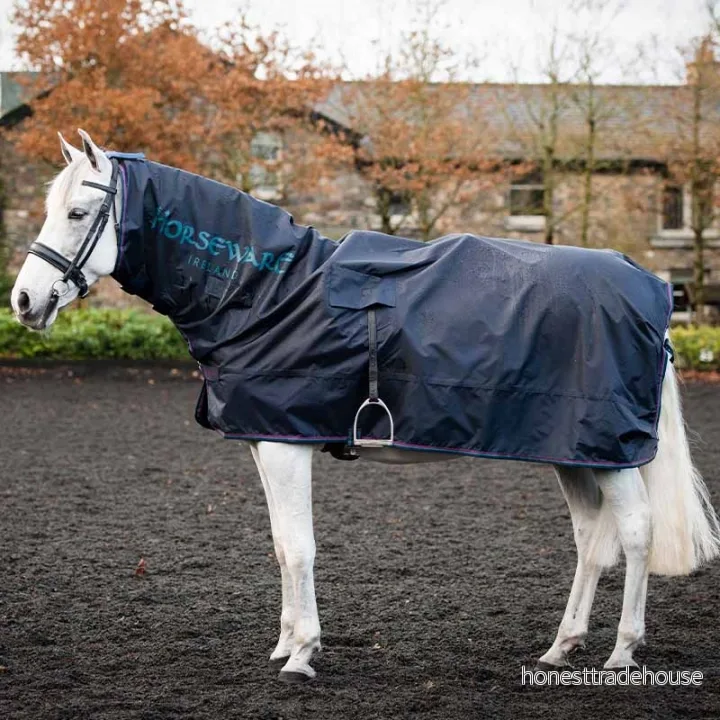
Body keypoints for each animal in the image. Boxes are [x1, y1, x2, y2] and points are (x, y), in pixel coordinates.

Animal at [10, 129, 720, 684]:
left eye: (79, 212)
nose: (22, 300)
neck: (268, 290)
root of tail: (651, 291)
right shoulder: (265, 441)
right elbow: (280, 545)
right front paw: (283, 645)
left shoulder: (287, 444)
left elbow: (300, 548)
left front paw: (302, 655)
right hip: (574, 451)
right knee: (591, 540)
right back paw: (559, 648)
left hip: (609, 452)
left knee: (635, 533)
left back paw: (622, 653)